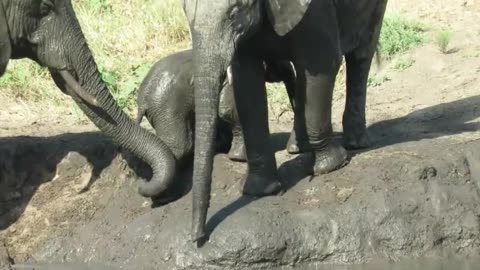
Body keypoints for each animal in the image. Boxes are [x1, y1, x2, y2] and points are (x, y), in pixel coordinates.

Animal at [182, 0, 388, 243]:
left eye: (234, 13)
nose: (198, 238)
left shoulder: (315, 9)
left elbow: (323, 63)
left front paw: (331, 166)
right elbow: (247, 84)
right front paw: (263, 191)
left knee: (361, 54)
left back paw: (355, 143)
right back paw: (298, 147)